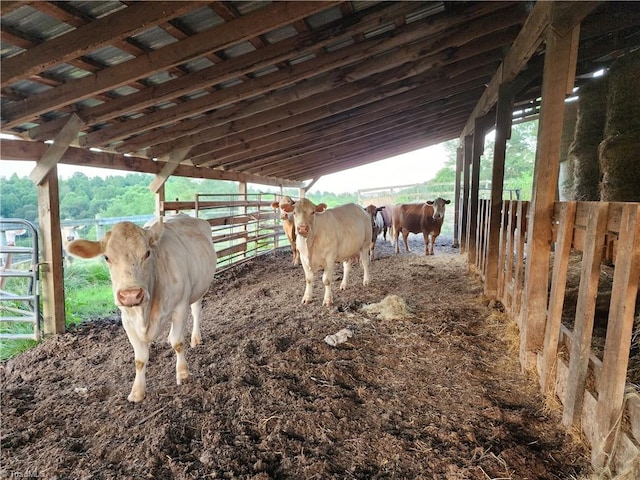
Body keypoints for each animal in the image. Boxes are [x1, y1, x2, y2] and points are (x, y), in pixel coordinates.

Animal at [66, 214, 218, 402]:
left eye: (147, 253)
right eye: (106, 257)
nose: (130, 294)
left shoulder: (180, 307)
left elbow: (178, 343)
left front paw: (182, 374)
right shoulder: (127, 320)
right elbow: (139, 358)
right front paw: (137, 392)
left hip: (200, 287)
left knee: (196, 311)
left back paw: (196, 338)